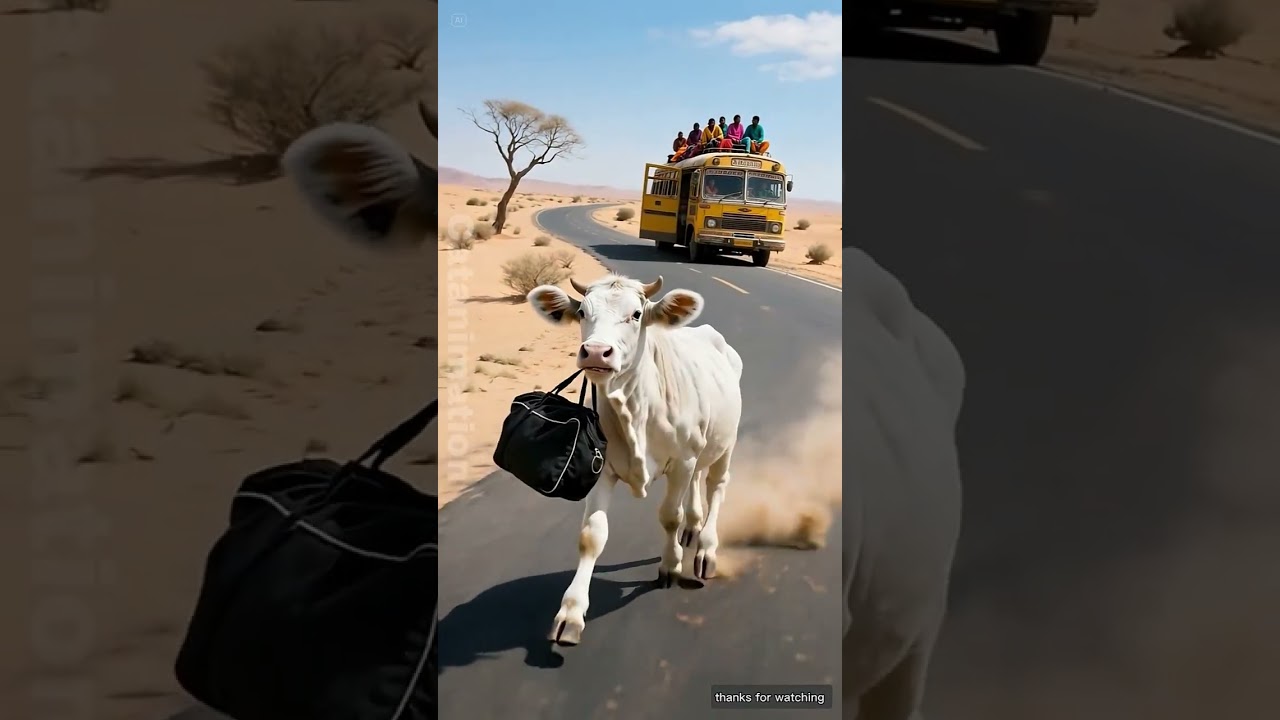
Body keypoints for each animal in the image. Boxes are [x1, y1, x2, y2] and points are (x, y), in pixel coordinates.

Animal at [527, 274, 744, 645]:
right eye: (582, 312)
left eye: (637, 314)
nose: (596, 352)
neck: (635, 409)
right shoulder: (602, 469)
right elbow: (592, 535)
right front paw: (571, 612)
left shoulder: (682, 460)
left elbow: (669, 516)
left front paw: (671, 565)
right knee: (698, 486)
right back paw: (693, 526)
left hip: (724, 444)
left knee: (716, 485)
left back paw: (706, 548)